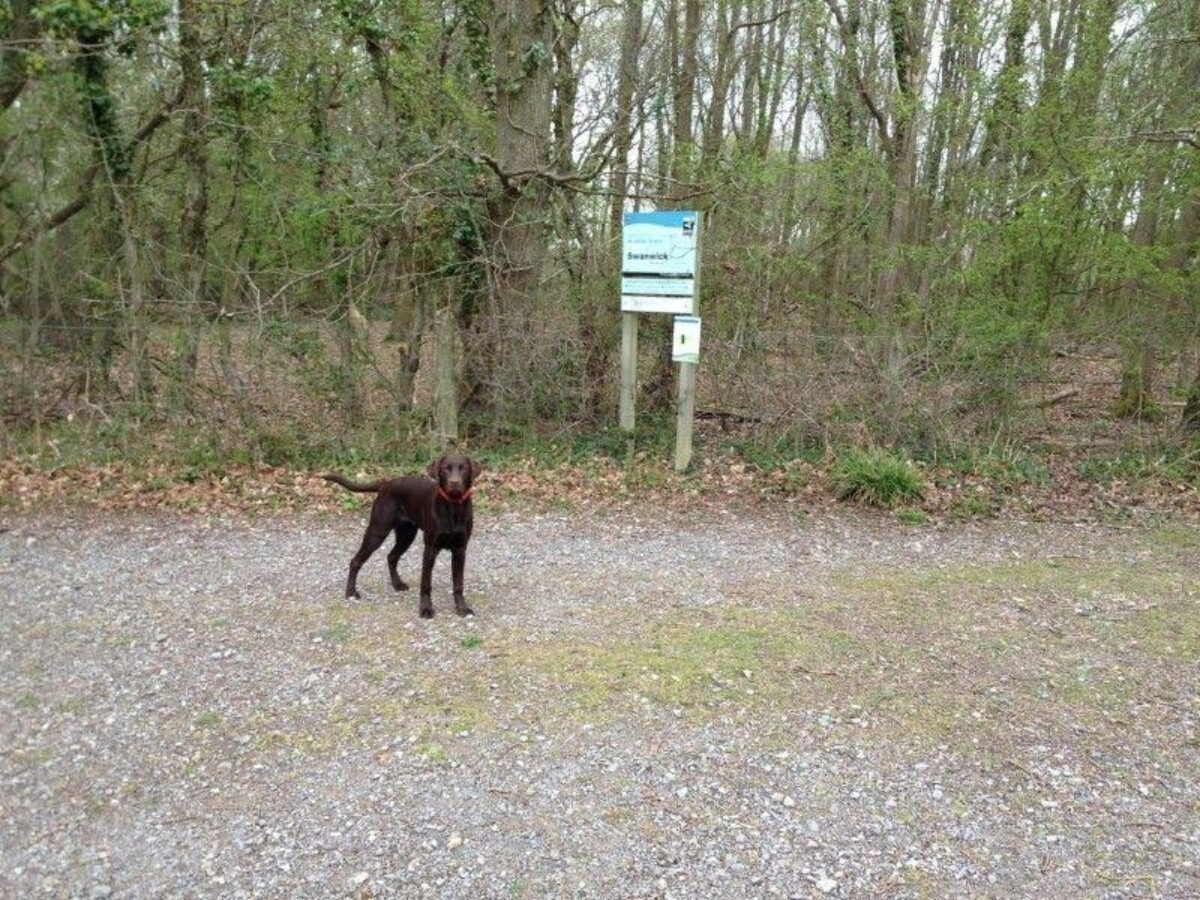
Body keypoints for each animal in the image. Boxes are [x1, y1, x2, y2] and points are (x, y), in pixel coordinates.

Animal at [328, 453, 482, 619]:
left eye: (463, 468)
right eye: (445, 469)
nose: (454, 483)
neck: (453, 506)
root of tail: (385, 484)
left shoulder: (460, 550)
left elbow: (458, 584)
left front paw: (462, 608)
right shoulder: (430, 550)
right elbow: (426, 584)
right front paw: (425, 609)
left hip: (406, 535)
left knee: (391, 557)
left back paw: (397, 584)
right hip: (377, 531)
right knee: (355, 561)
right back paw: (350, 592)